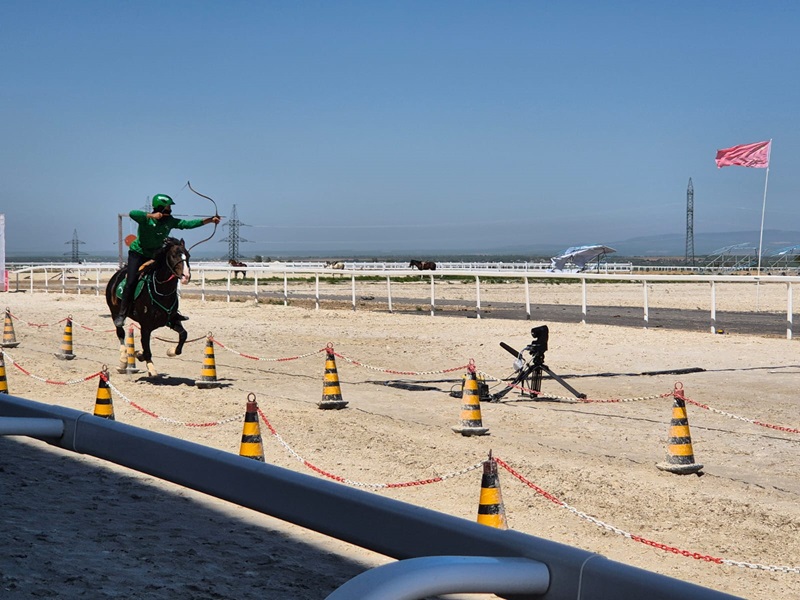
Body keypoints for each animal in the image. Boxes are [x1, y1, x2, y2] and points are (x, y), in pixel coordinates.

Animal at [105, 238, 191, 376]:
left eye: (188, 255)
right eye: (173, 255)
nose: (186, 276)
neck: (162, 292)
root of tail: (118, 274)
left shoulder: (170, 320)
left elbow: (183, 335)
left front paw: (171, 351)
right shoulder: (145, 326)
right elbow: (146, 349)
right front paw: (147, 364)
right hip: (114, 312)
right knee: (120, 332)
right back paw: (123, 360)